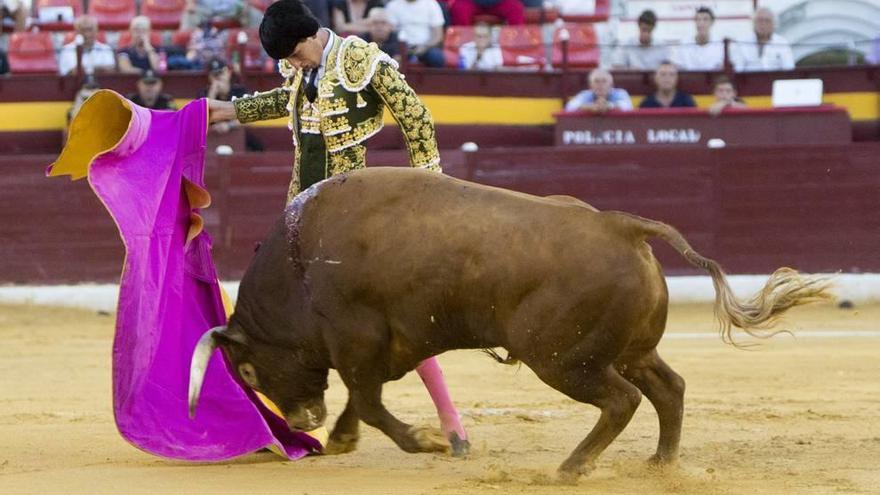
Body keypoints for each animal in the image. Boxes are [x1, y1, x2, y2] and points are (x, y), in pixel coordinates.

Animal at [187, 167, 832, 480]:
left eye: (249, 370)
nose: (303, 421)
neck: (299, 265)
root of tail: (622, 225)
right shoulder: (380, 347)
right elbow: (361, 398)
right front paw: (347, 438)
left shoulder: (358, 338)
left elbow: (367, 400)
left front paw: (423, 441)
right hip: (626, 349)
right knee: (667, 389)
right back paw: (660, 464)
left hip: (564, 358)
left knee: (621, 401)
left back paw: (572, 468)